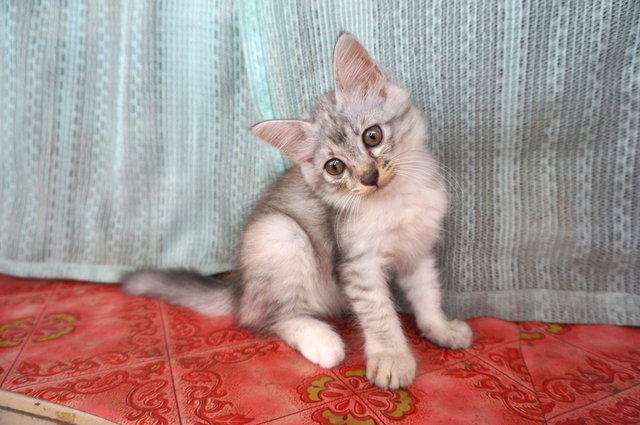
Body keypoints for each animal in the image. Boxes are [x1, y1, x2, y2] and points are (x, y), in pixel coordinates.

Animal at [122, 33, 472, 388]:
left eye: (372, 136)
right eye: (335, 167)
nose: (369, 177)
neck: (396, 199)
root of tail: (240, 288)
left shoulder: (418, 251)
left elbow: (427, 294)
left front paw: (440, 328)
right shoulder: (359, 264)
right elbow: (380, 315)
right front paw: (391, 359)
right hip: (282, 234)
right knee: (266, 318)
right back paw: (322, 341)